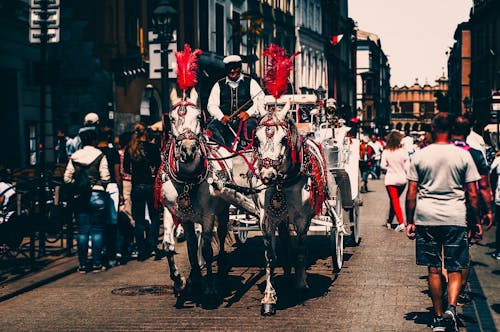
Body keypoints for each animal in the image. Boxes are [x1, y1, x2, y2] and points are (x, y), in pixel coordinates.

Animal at [159, 87, 231, 306]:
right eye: (172, 118)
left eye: (199, 116)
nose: (188, 150)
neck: (187, 179)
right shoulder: (172, 211)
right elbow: (170, 246)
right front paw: (181, 281)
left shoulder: (208, 215)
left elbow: (207, 249)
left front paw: (209, 288)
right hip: (189, 218)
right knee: (193, 241)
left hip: (223, 210)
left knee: (220, 234)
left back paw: (220, 267)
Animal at [254, 102, 328, 316]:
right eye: (256, 139)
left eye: (283, 139)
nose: (267, 176)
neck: (282, 183)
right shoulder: (266, 218)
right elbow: (270, 256)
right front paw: (269, 298)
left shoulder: (303, 219)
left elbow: (301, 250)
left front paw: (301, 284)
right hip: (282, 217)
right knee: (286, 240)